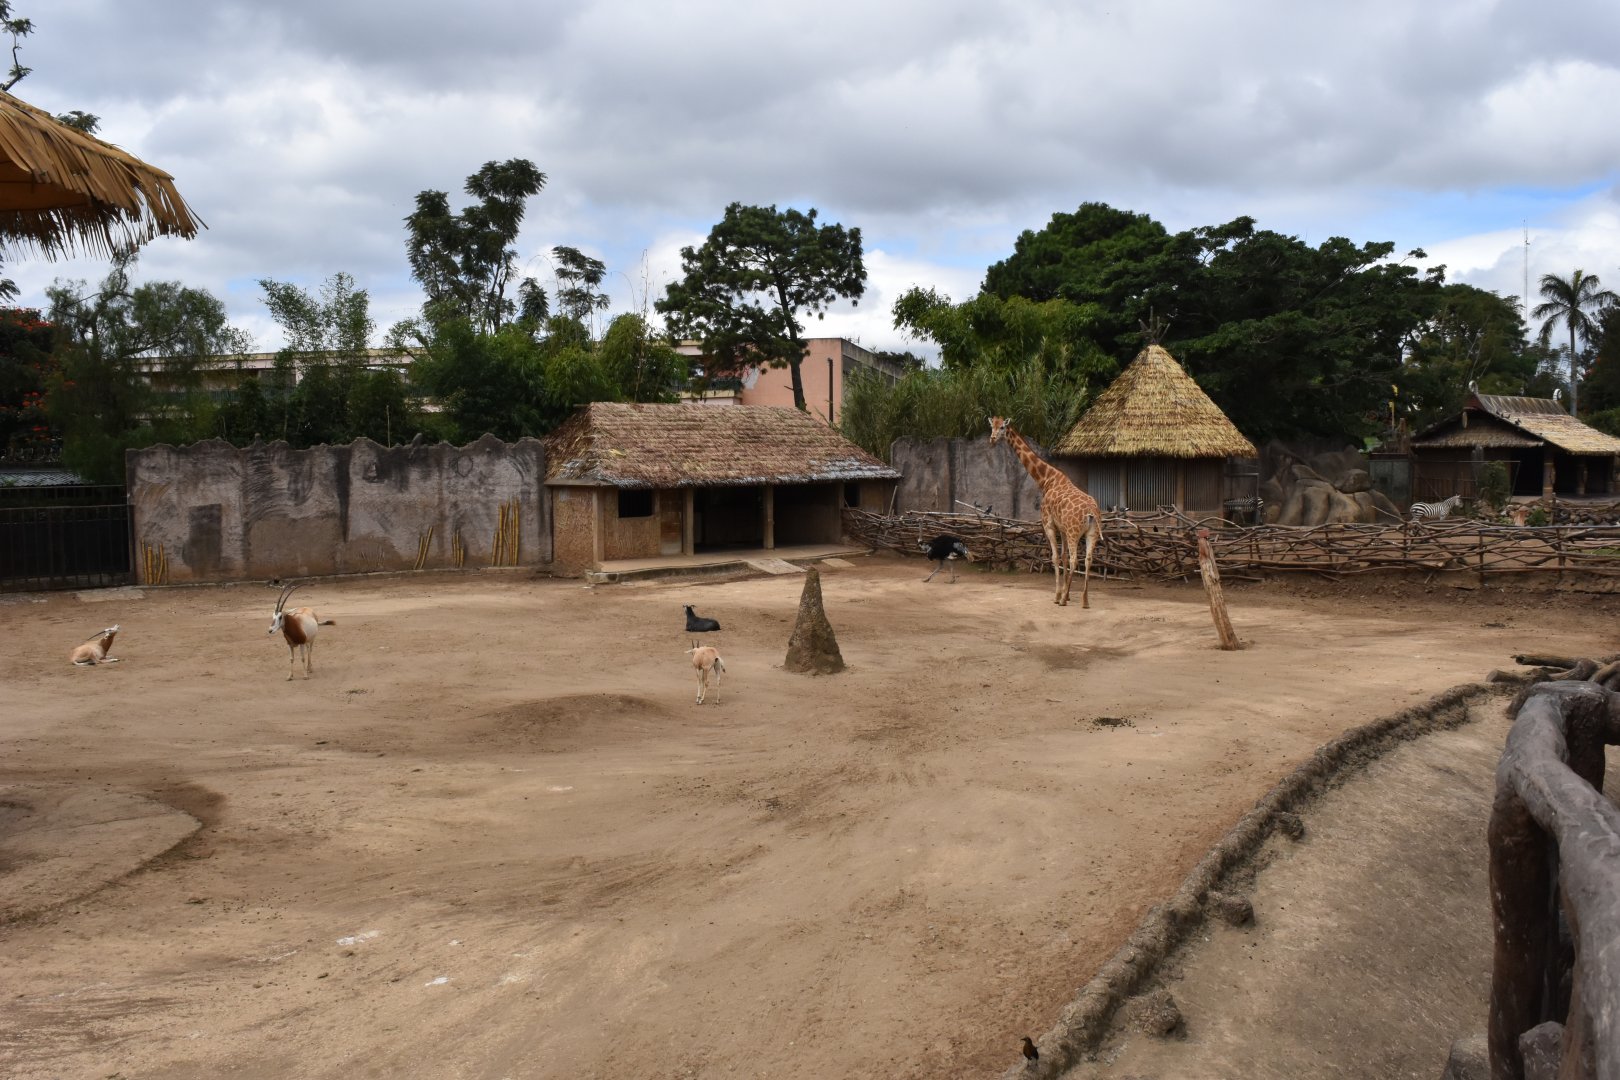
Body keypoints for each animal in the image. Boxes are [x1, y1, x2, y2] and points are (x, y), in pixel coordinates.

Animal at [988, 416, 1103, 608]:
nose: (992, 439)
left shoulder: (1048, 524)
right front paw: (1066, 593)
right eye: (991, 426)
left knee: (1076, 559)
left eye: (1003, 427)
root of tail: (1091, 512)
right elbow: (1063, 557)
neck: (1047, 480)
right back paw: (1085, 601)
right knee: (1088, 559)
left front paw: (1058, 595)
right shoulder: (1062, 528)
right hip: (1091, 533)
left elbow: (1055, 558)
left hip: (1074, 532)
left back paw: (1063, 600)